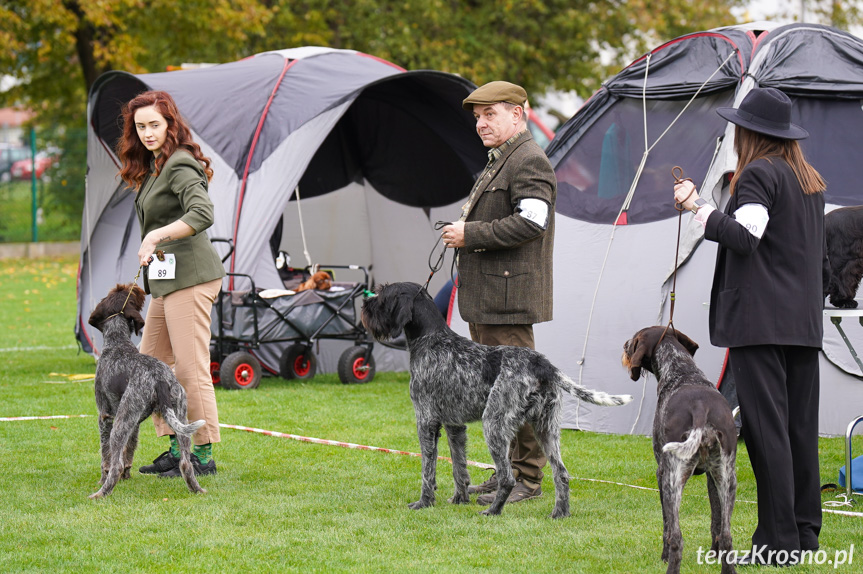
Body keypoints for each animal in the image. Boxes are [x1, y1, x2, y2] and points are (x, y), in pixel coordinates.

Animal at [87, 284, 207, 500]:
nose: (137, 287)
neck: (117, 342)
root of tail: (159, 378)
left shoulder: (105, 416)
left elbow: (106, 458)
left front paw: (103, 479)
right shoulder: (134, 424)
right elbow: (129, 452)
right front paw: (127, 477)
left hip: (119, 425)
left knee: (115, 465)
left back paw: (101, 493)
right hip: (180, 416)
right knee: (186, 463)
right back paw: (197, 489)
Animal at [362, 284, 632, 520]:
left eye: (383, 295)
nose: (365, 305)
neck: (432, 339)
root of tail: (543, 364)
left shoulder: (426, 420)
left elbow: (428, 469)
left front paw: (424, 502)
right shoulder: (454, 425)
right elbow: (459, 467)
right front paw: (460, 499)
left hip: (494, 425)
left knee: (508, 477)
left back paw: (493, 511)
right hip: (545, 429)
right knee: (561, 474)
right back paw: (559, 513)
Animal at [620, 328, 736, 574]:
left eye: (633, 341)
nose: (624, 345)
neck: (681, 370)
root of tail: (701, 410)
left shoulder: (661, 473)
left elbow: (666, 525)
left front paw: (663, 556)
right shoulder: (713, 477)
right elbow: (716, 522)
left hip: (673, 479)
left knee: (676, 536)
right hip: (728, 479)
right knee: (727, 535)